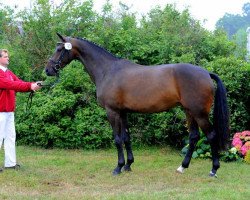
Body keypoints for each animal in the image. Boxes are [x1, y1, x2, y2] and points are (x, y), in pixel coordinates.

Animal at [44, 32, 229, 177]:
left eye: (59, 49)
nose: (48, 70)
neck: (108, 70)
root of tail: (206, 73)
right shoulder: (123, 112)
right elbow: (126, 137)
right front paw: (128, 165)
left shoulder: (112, 112)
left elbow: (117, 139)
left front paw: (118, 167)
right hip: (188, 111)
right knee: (194, 137)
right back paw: (182, 167)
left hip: (199, 113)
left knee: (211, 135)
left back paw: (213, 170)